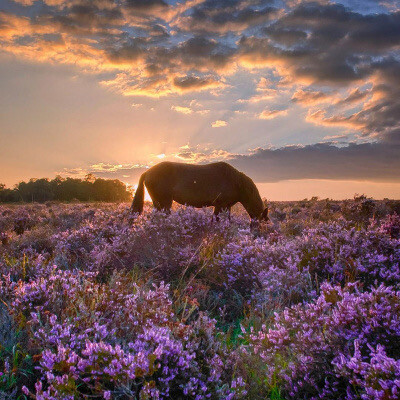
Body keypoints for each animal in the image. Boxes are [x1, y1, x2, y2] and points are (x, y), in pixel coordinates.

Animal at [131, 162, 268, 225]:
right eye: (264, 223)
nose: (257, 237)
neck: (236, 182)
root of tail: (147, 172)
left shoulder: (226, 207)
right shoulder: (221, 205)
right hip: (164, 203)